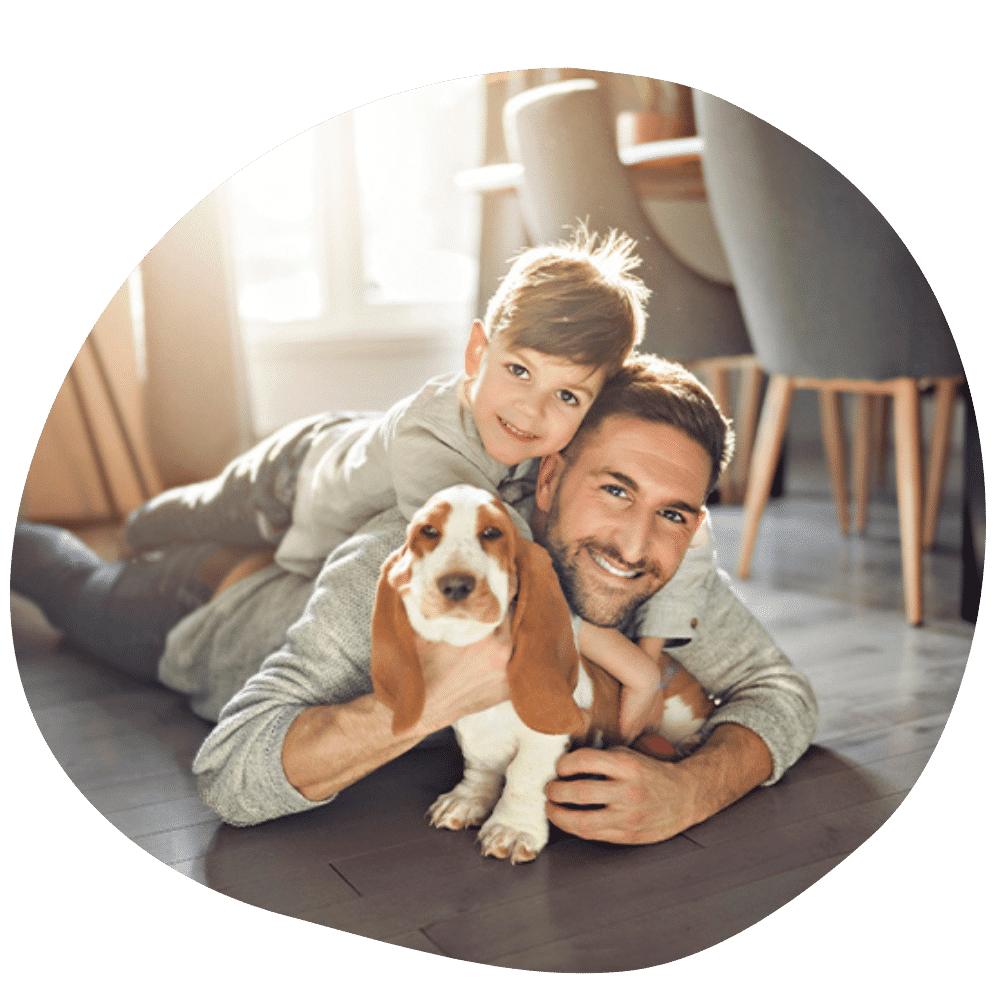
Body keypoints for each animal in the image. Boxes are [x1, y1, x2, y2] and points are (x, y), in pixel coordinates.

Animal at [372, 482, 716, 860]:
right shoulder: (471, 728)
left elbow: (524, 773)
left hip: (679, 709)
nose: (456, 585)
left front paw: (512, 829)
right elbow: (480, 764)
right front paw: (466, 801)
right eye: (428, 531)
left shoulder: (549, 735)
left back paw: (690, 742)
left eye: (492, 533)